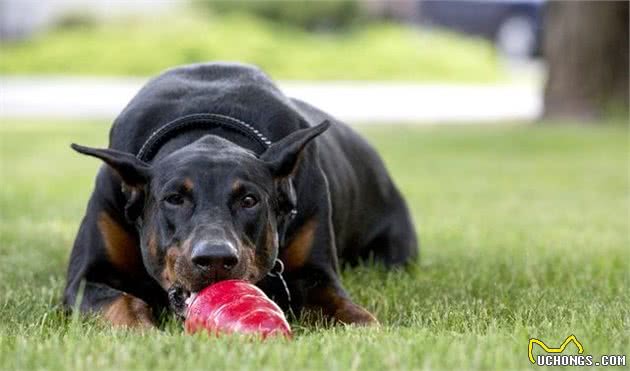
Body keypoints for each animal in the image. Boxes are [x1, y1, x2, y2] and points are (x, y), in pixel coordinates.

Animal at [64, 63, 420, 328]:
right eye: (174, 199)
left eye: (249, 200)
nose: (215, 259)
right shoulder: (83, 277)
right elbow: (124, 303)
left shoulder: (317, 273)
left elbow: (349, 311)